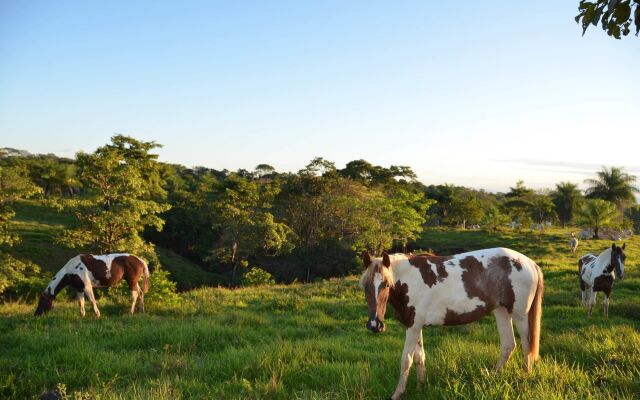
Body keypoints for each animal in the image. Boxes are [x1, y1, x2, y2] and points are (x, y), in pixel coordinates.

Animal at [360, 248, 544, 398]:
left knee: (526, 347)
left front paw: (397, 394)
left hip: (520, 315)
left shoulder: (412, 327)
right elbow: (420, 358)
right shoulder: (415, 326)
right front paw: (420, 387)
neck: (409, 280)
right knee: (508, 345)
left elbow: (407, 360)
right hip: (501, 311)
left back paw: (525, 375)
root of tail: (529, 263)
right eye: (365, 285)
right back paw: (492, 376)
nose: (375, 325)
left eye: (386, 284)